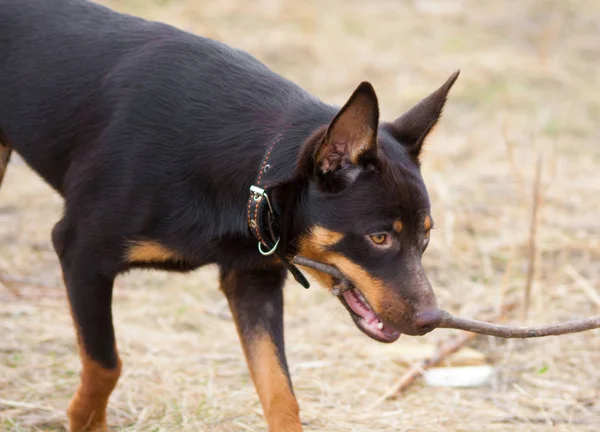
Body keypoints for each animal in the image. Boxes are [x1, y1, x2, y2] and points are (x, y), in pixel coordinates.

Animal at [0, 0, 460, 432]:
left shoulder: (252, 281)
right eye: (379, 237)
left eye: (425, 238)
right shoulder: (82, 255)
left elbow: (280, 391)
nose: (432, 321)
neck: (253, 178)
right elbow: (105, 364)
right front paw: (85, 419)